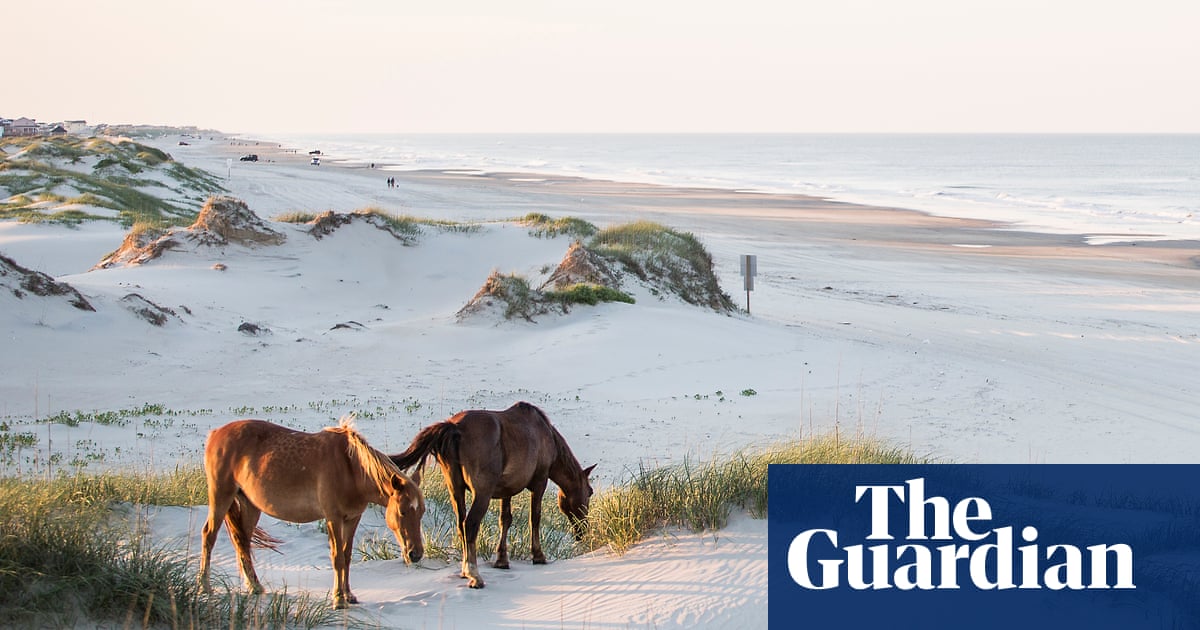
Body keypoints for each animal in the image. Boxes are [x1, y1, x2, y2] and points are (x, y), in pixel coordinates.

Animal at [198, 417, 425, 609]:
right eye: (403, 511)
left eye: (421, 512)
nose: (415, 554)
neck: (350, 468)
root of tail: (215, 433)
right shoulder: (333, 518)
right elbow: (337, 557)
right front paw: (338, 599)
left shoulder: (352, 519)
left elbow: (347, 556)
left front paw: (349, 595)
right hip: (221, 495)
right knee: (209, 535)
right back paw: (205, 587)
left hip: (250, 505)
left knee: (242, 541)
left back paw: (255, 587)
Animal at [390, 401, 595, 589]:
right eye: (590, 493)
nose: (582, 532)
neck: (546, 435)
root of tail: (454, 428)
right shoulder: (540, 482)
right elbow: (534, 518)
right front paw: (538, 555)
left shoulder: (507, 490)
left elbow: (505, 520)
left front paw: (502, 559)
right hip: (482, 493)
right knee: (470, 524)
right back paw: (474, 575)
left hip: (455, 489)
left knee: (460, 524)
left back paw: (465, 571)